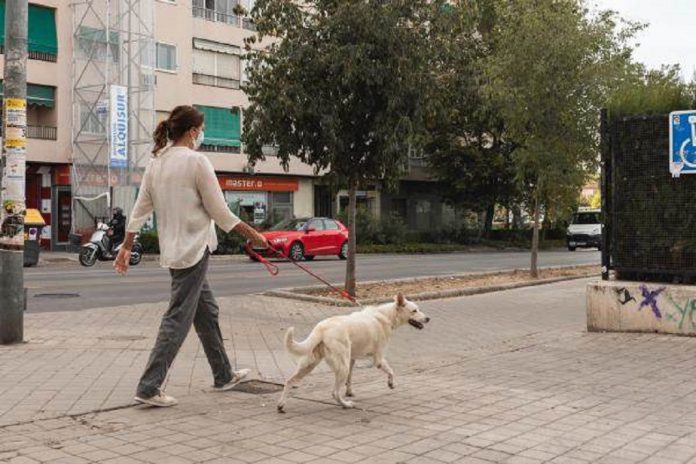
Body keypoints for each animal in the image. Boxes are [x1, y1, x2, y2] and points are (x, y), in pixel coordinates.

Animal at [278, 296, 430, 412]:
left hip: (309, 364)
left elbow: (350, 379)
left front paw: (349, 392)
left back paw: (281, 405)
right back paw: (346, 404)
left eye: (418, 309)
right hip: (340, 366)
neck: (385, 316)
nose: (428, 318)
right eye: (414, 310)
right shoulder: (379, 359)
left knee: (289, 381)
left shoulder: (351, 359)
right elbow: (391, 371)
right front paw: (391, 384)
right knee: (334, 393)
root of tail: (321, 328)